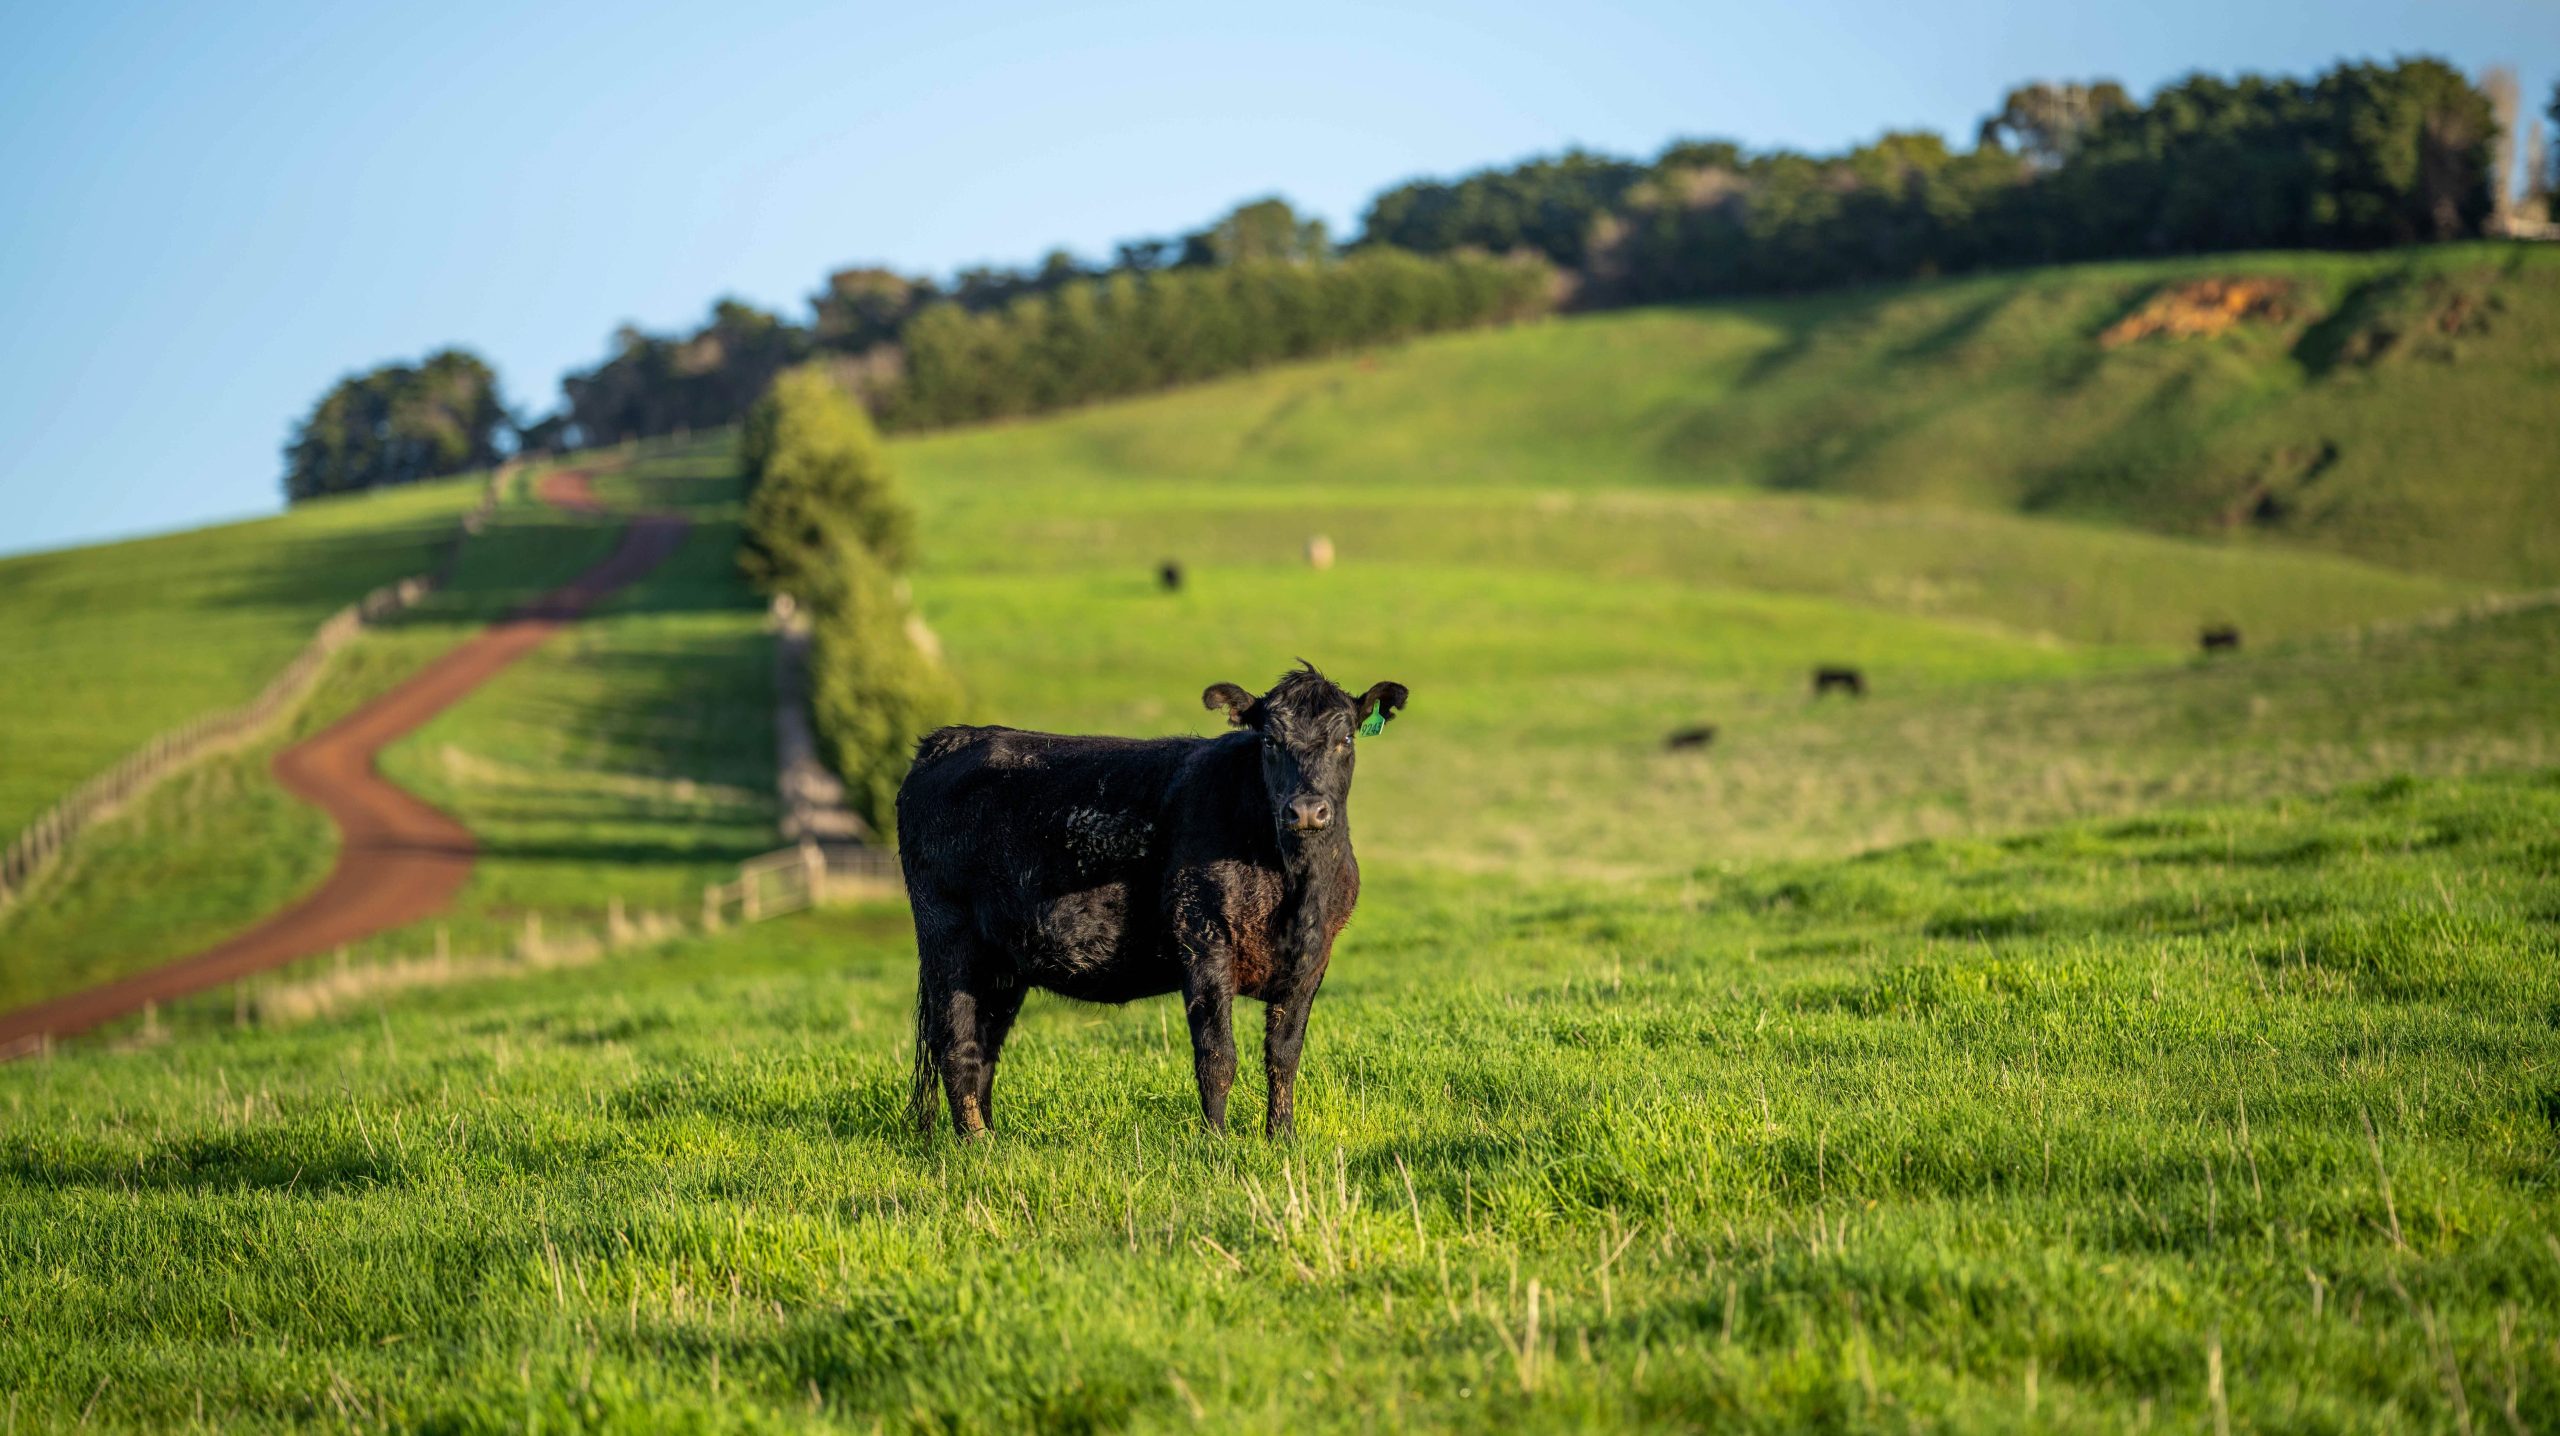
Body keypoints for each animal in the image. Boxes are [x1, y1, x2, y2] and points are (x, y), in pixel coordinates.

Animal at [890, 665, 1413, 1141]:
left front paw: (1281, 1138)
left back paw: (995, 1141)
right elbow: (1217, 1056)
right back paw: (976, 1146)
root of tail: (952, 738)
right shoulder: (1202, 936)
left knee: (985, 1049)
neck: (1294, 887)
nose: (1306, 810)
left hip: (1004, 962)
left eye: (1346, 737)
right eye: (1269, 741)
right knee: (956, 1046)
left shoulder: (1312, 958)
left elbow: (1283, 1056)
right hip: (948, 939)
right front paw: (1217, 1144)